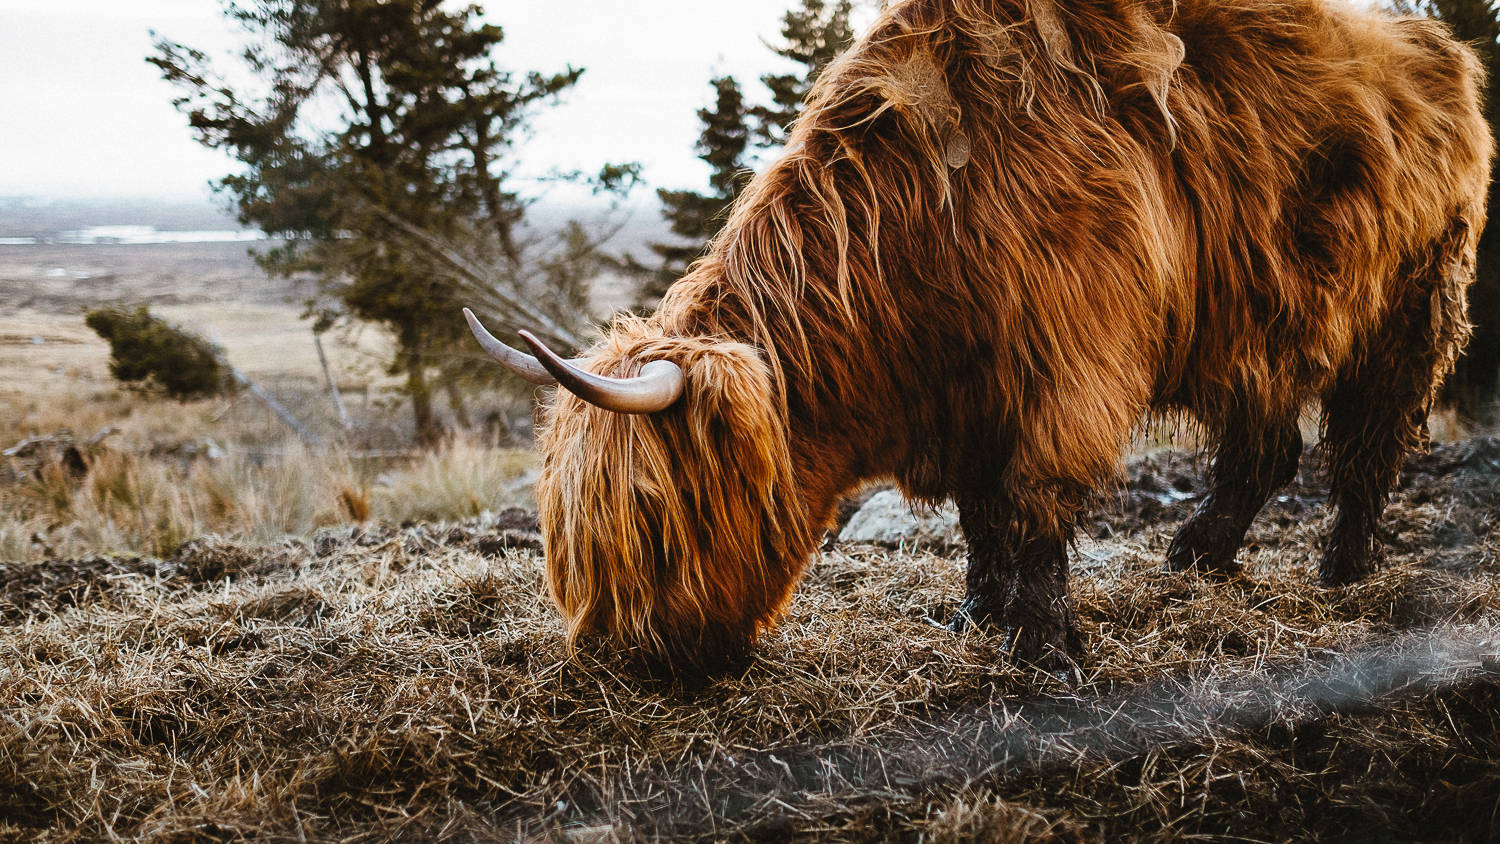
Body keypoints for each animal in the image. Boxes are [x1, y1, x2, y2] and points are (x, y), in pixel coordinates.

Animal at [465, 0, 1488, 677]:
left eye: (654, 522)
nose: (619, 660)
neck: (920, 223)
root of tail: (1441, 49)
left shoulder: (1066, 366)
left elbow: (1032, 504)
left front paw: (1044, 650)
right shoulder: (971, 390)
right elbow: (980, 512)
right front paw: (975, 614)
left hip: (1414, 300)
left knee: (1369, 438)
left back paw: (1343, 566)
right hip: (1257, 324)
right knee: (1265, 443)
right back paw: (1199, 553)